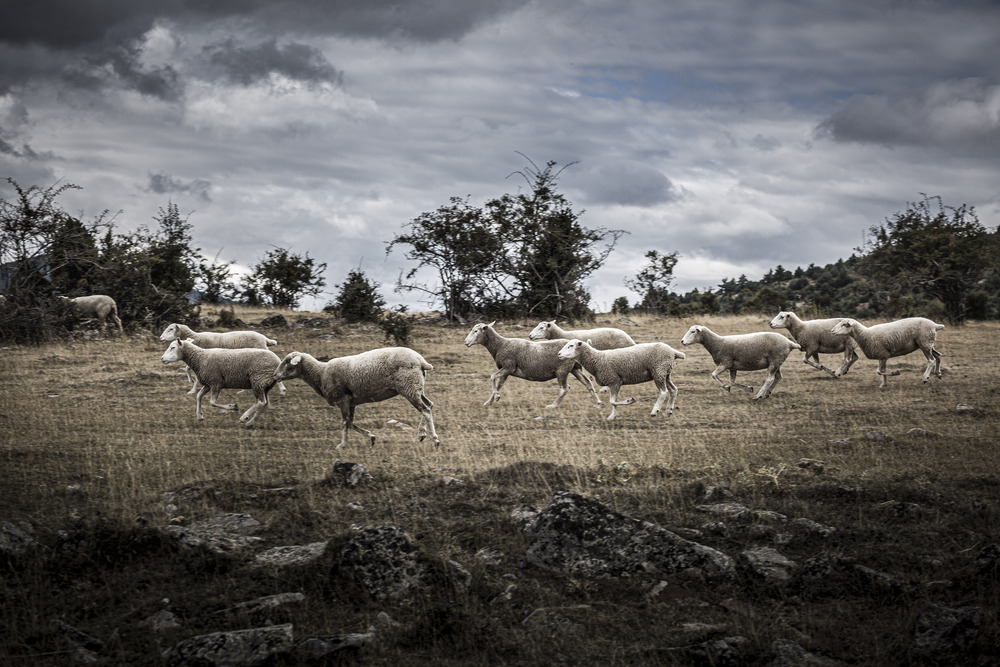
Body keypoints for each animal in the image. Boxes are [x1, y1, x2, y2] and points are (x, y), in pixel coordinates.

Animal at [158, 324, 286, 396]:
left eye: (170, 329)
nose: (160, 338)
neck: (196, 338)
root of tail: (264, 338)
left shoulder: (203, 360)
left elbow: (192, 372)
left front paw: (192, 389)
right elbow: (187, 368)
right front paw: (191, 382)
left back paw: (281, 390)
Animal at [276, 348, 444, 452]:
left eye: (288, 361)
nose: (275, 376)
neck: (320, 373)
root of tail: (420, 360)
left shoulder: (343, 399)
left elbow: (345, 423)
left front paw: (343, 445)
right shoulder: (352, 402)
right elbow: (350, 423)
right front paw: (371, 437)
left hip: (408, 387)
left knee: (425, 410)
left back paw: (435, 440)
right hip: (416, 387)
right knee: (429, 405)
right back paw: (422, 433)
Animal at [462, 322, 600, 410]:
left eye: (475, 331)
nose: (465, 342)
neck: (500, 345)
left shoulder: (508, 367)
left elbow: (491, 377)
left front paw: (496, 396)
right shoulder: (506, 371)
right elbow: (498, 384)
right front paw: (490, 401)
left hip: (562, 370)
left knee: (564, 389)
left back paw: (553, 405)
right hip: (574, 368)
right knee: (587, 383)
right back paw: (597, 402)